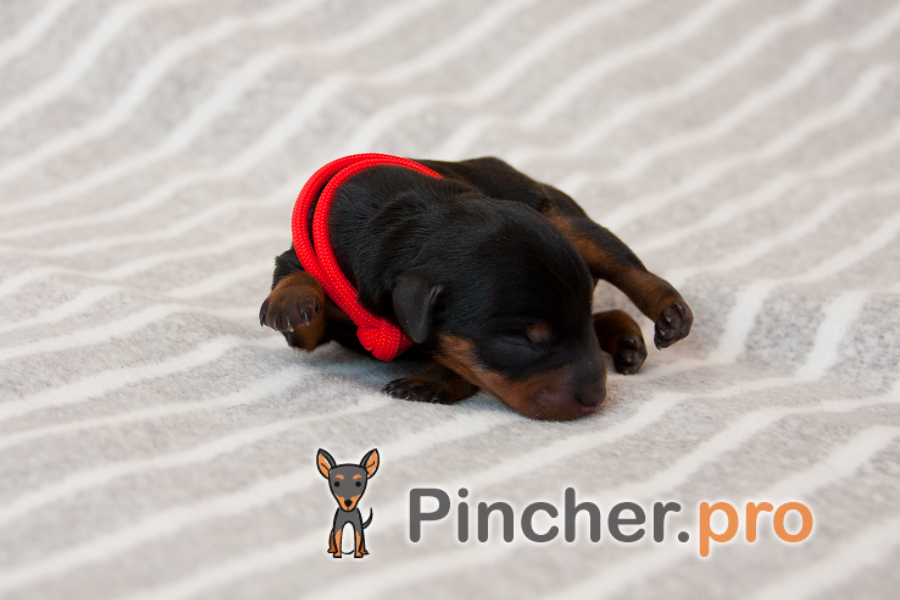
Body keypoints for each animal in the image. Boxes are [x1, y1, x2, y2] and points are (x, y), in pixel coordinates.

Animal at [260, 156, 692, 420]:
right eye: (524, 340)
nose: (596, 399)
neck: (411, 223)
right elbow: (303, 299)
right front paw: (292, 297)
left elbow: (460, 360)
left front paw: (430, 381)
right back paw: (627, 342)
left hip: (567, 222)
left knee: (626, 268)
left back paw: (669, 313)